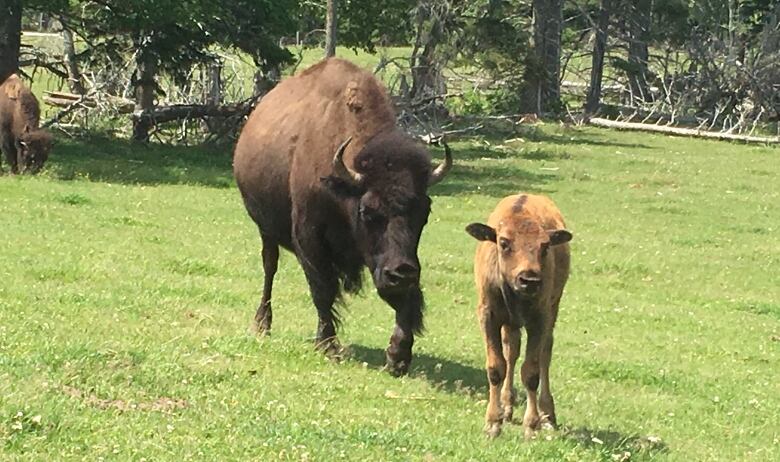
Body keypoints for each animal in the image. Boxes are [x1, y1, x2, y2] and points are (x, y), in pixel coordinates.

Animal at [232, 57, 450, 376]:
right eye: (368, 211)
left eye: (424, 212)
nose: (402, 272)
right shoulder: (310, 239)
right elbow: (323, 289)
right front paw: (329, 345)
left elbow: (403, 298)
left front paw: (398, 356)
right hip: (266, 230)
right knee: (269, 267)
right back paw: (262, 324)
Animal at [464, 193, 572, 438]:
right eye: (504, 243)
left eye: (545, 246)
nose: (529, 279)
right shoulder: (489, 317)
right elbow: (496, 367)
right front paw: (493, 423)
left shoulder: (539, 320)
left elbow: (531, 372)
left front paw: (531, 425)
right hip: (510, 324)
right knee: (511, 352)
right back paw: (507, 407)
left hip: (553, 310)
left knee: (545, 354)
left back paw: (547, 415)